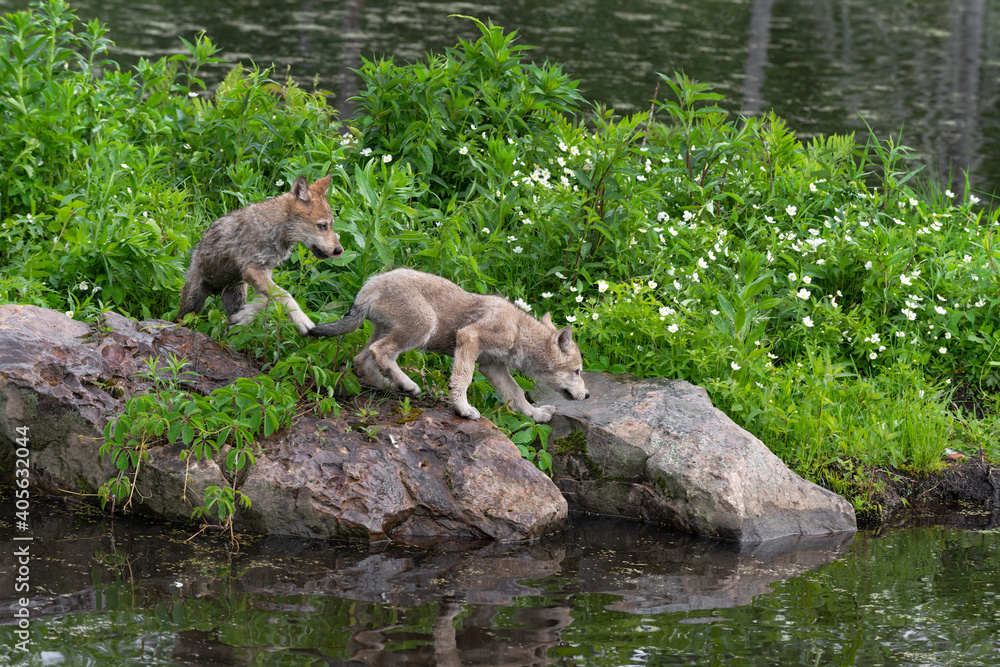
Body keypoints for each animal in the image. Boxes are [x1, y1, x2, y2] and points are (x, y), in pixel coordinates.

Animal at [177, 175, 343, 335]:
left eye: (331, 225)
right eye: (322, 226)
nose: (339, 250)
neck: (275, 228)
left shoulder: (263, 273)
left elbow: (265, 300)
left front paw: (243, 318)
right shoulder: (252, 271)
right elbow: (285, 294)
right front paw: (302, 321)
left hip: (236, 296)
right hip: (193, 303)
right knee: (180, 320)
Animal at [308, 268, 590, 422]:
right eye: (577, 371)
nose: (587, 396)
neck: (519, 330)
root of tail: (369, 286)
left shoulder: (493, 367)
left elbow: (516, 394)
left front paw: (536, 414)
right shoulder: (469, 338)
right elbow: (462, 379)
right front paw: (463, 409)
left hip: (386, 330)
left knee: (362, 359)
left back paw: (393, 386)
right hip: (423, 326)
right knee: (381, 353)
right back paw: (408, 385)